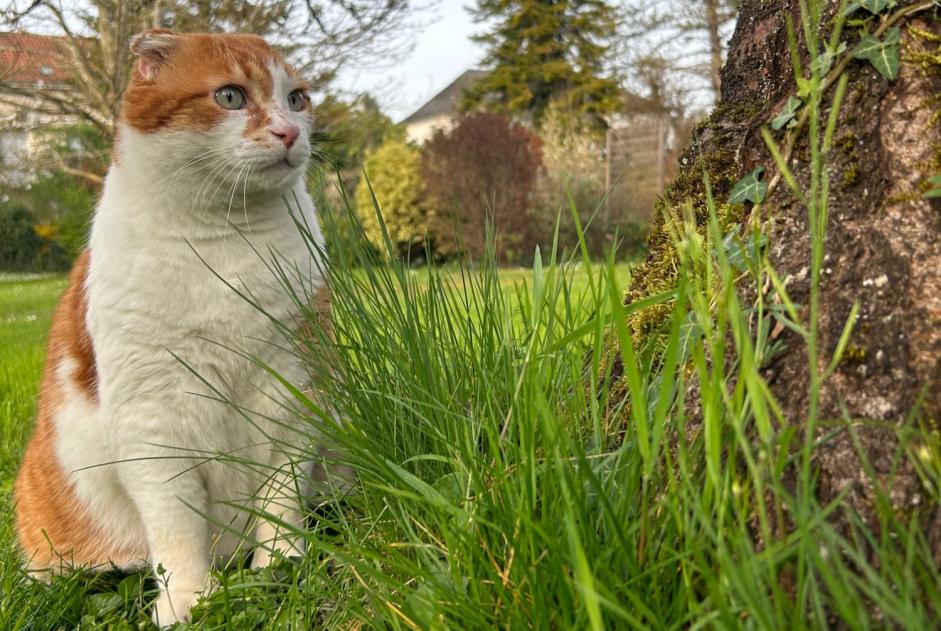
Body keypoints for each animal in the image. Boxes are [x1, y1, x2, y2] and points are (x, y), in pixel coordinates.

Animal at [11, 29, 330, 628]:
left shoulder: (291, 386)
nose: (290, 131)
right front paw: (186, 599)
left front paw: (281, 563)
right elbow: (176, 526)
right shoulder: (152, 421)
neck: (225, 239)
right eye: (229, 97)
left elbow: (281, 494)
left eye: (296, 98)